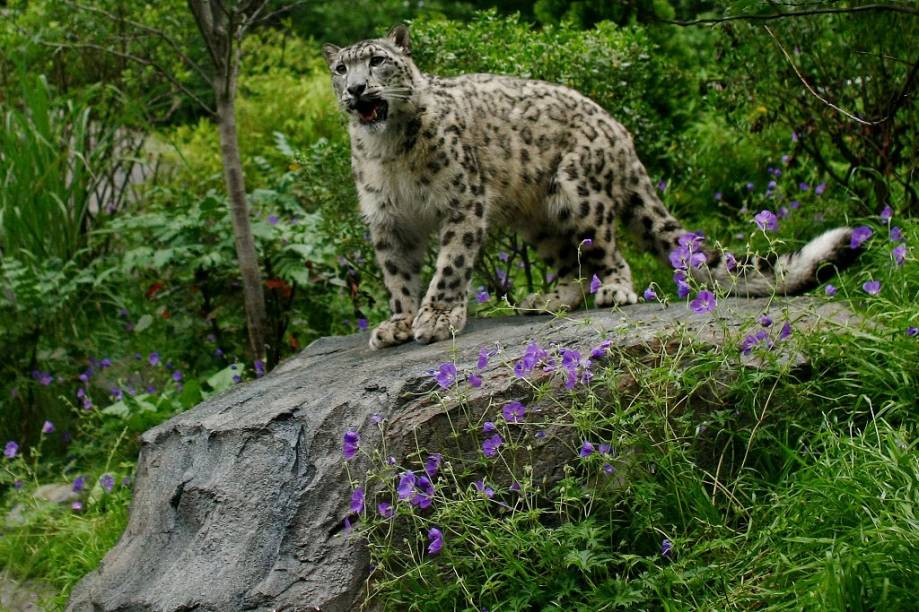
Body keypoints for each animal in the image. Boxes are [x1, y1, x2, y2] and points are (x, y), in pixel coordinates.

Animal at [322, 25, 860, 350]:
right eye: (340, 69)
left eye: (377, 60)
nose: (357, 90)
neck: (390, 153)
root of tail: (620, 130)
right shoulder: (388, 221)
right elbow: (397, 277)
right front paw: (397, 322)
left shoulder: (462, 201)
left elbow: (450, 265)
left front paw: (435, 317)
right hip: (538, 218)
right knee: (569, 262)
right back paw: (547, 300)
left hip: (578, 191)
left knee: (609, 251)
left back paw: (615, 291)